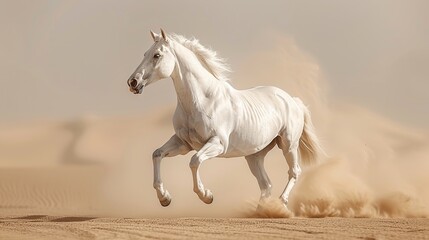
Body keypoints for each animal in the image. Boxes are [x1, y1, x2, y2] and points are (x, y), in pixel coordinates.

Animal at [127, 29, 324, 209]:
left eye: (157, 55)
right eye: (145, 54)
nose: (132, 82)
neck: (202, 100)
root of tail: (292, 100)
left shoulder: (217, 144)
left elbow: (195, 161)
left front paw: (206, 196)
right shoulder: (183, 143)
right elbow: (157, 154)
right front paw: (164, 198)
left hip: (288, 145)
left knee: (294, 172)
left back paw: (281, 203)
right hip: (255, 155)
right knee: (266, 184)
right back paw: (263, 209)